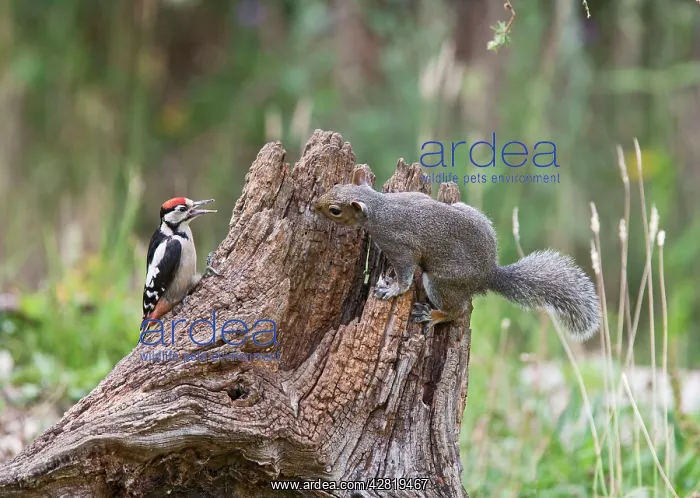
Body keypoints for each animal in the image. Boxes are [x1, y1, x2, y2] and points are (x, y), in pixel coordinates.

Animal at [312, 168, 601, 340]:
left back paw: (434, 315)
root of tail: (488, 274)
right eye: (335, 185)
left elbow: (405, 277)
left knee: (457, 311)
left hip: (441, 282)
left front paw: (390, 289)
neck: (380, 208)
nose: (314, 205)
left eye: (335, 210)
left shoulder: (399, 246)